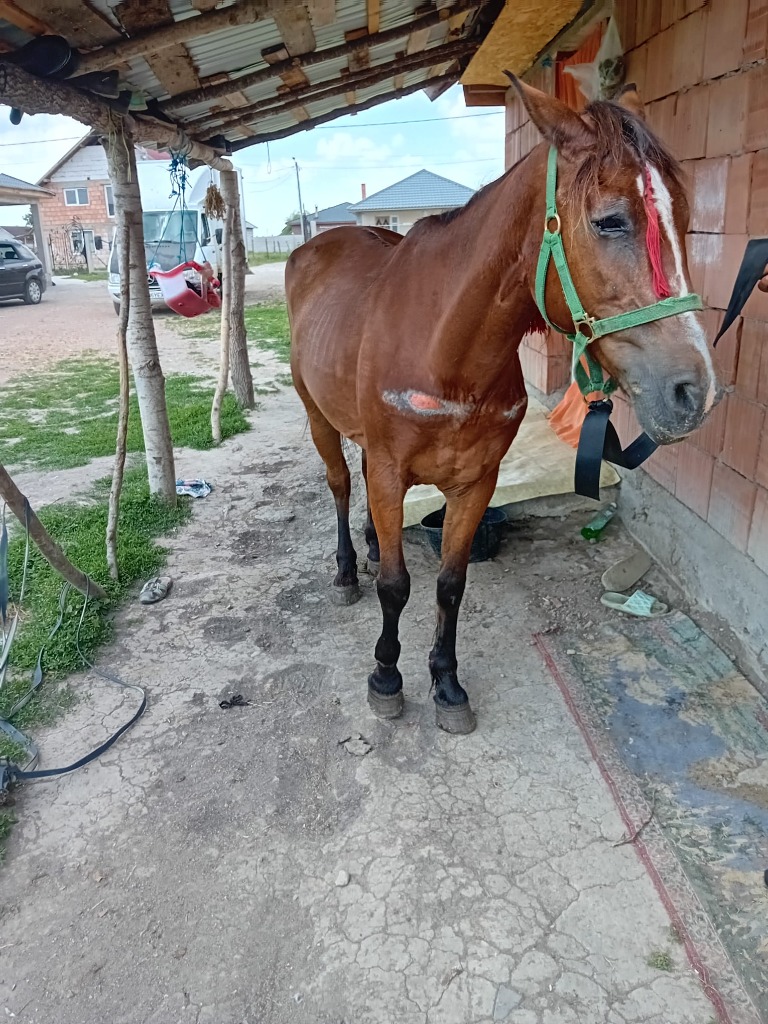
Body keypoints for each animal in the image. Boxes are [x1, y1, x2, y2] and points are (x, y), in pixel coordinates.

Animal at [285, 78, 719, 735]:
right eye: (610, 221)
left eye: (687, 221)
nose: (693, 393)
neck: (443, 350)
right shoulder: (390, 472)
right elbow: (395, 586)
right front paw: (386, 676)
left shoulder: (476, 482)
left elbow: (450, 584)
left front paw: (446, 683)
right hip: (318, 416)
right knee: (339, 483)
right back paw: (345, 569)